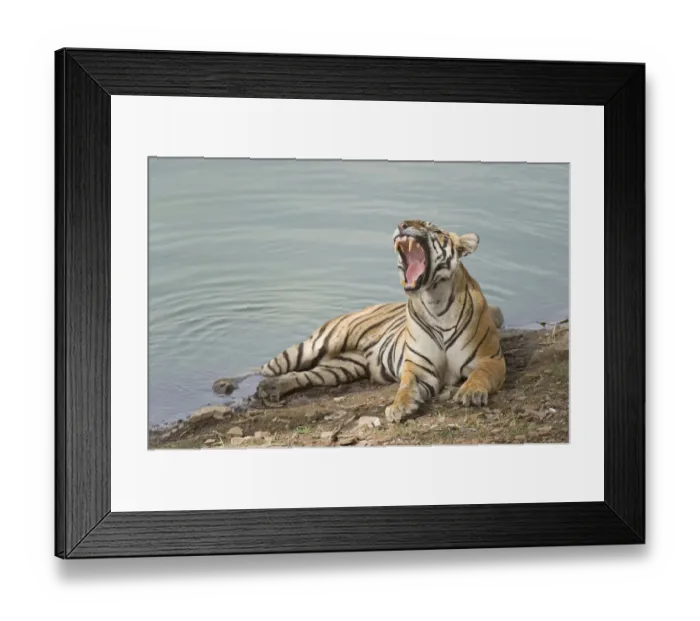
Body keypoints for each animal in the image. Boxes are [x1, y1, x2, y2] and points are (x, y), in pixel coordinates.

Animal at [213, 220, 506, 422]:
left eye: (432, 228)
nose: (403, 224)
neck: (435, 301)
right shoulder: (418, 367)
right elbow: (405, 387)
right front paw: (398, 407)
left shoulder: (491, 359)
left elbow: (479, 375)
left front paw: (470, 392)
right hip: (314, 346)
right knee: (264, 367)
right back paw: (225, 383)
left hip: (339, 368)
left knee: (300, 374)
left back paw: (271, 388)